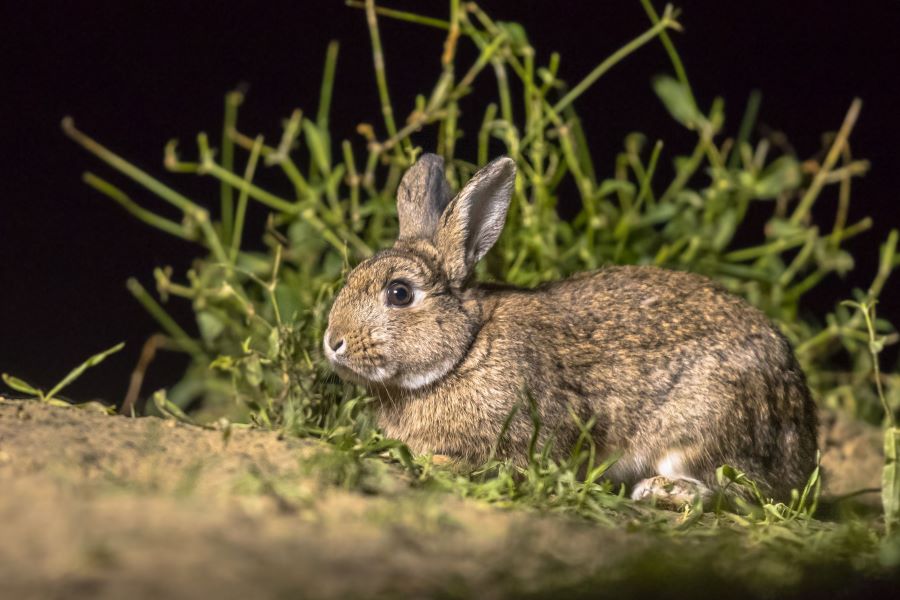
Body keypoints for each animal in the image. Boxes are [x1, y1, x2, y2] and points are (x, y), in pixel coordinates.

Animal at [324, 154, 819, 509]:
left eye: (400, 293)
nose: (333, 342)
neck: (464, 351)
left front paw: (438, 461)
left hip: (705, 428)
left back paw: (661, 492)